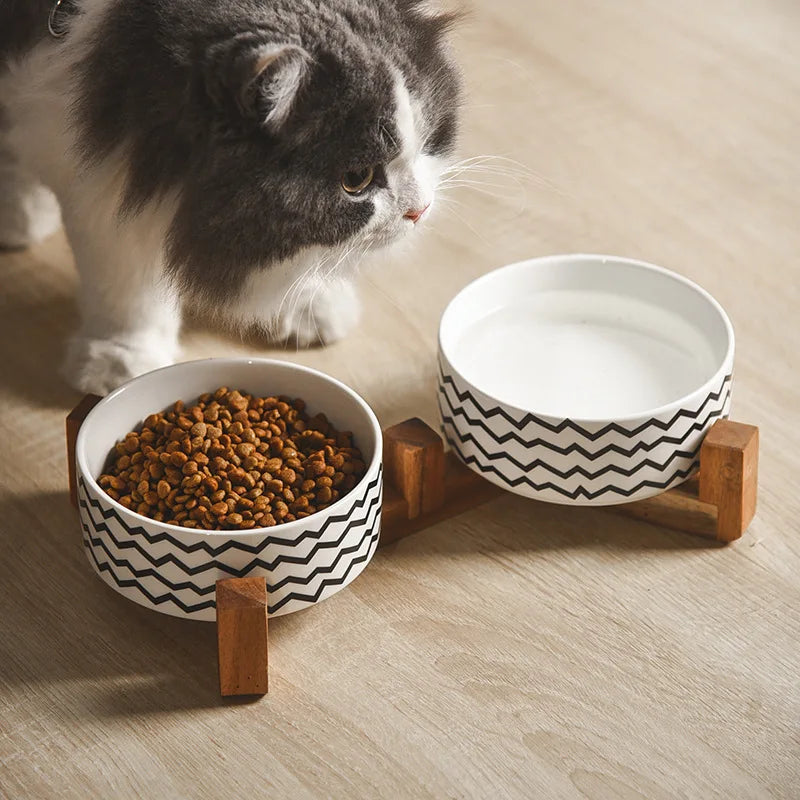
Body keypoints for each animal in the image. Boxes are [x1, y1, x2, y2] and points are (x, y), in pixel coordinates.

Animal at [0, 0, 462, 394]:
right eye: (356, 180)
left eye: (424, 140)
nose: (419, 210)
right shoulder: (103, 180)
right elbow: (127, 287)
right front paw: (122, 363)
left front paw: (312, 303)